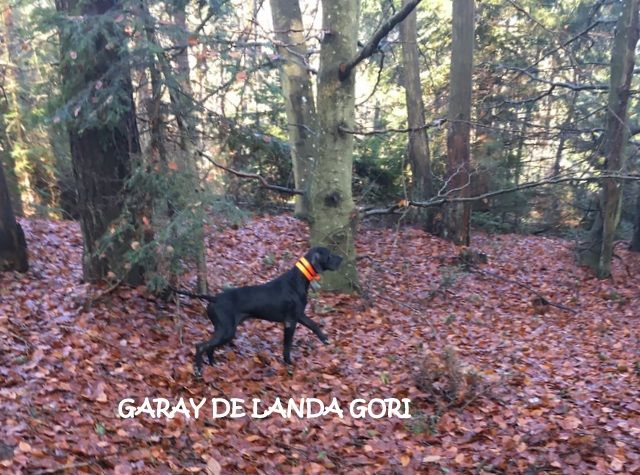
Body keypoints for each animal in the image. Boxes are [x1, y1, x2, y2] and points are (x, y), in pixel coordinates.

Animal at [170, 247, 342, 378]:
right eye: (329, 254)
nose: (342, 258)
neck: (297, 279)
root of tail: (215, 298)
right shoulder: (290, 321)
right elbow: (287, 345)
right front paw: (288, 363)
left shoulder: (298, 315)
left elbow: (314, 325)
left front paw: (325, 339)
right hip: (227, 330)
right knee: (200, 345)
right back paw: (198, 370)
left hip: (223, 329)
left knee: (209, 346)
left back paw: (214, 364)